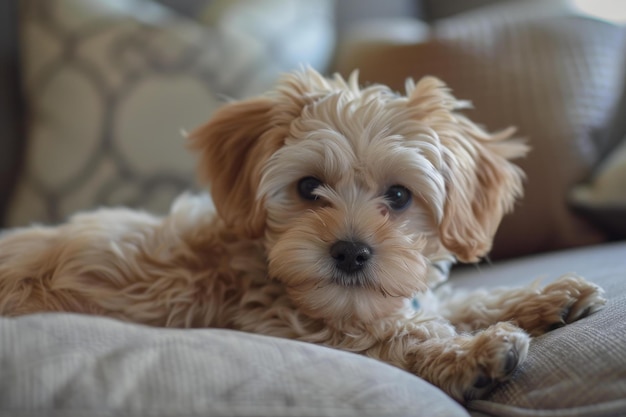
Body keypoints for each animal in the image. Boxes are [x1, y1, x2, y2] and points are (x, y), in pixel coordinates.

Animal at [0, 67, 604, 400]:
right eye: (309, 186)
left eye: (399, 196)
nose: (351, 253)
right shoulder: (284, 326)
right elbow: (398, 336)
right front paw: (474, 354)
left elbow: (453, 302)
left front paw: (545, 298)